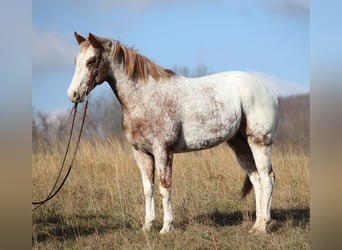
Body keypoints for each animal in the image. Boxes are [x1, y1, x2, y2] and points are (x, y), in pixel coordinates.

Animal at [68, 31, 280, 234]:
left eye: (91, 61)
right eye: (76, 60)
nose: (73, 95)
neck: (145, 97)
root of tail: (268, 90)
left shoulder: (163, 151)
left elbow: (164, 188)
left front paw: (166, 227)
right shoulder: (141, 153)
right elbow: (148, 189)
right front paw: (147, 226)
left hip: (259, 142)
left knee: (267, 179)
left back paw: (263, 226)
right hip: (240, 145)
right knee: (257, 180)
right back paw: (256, 225)